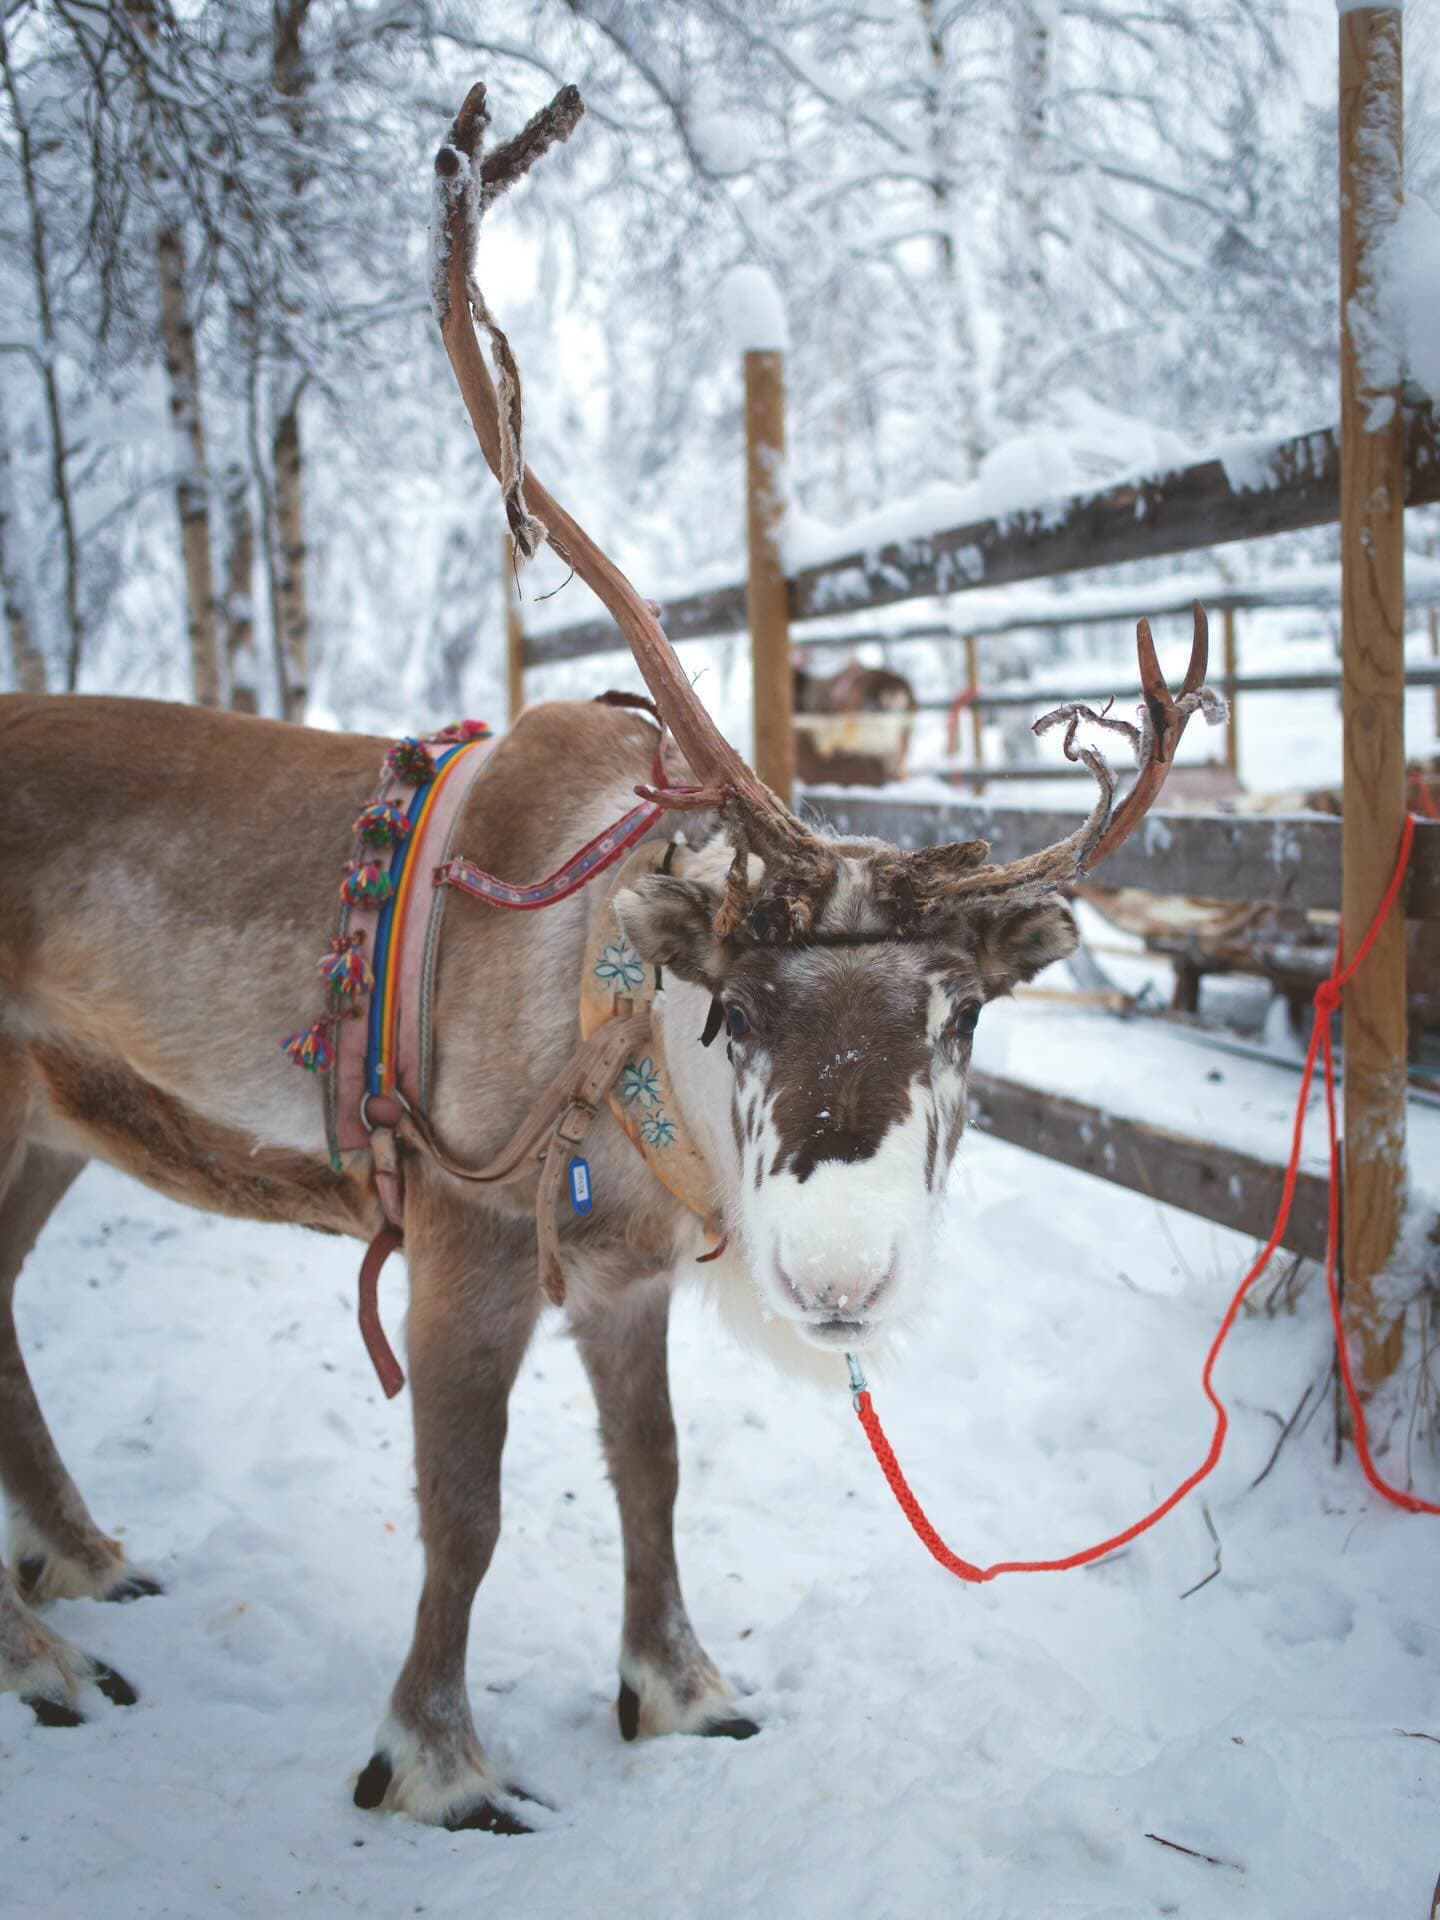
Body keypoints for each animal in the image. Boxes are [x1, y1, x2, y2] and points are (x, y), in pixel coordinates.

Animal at [0, 82, 1221, 1833]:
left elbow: (652, 1470)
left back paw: (83, 1563)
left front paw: (679, 1687)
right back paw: (43, 1654)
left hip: (48, 1123)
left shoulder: (628, 1275)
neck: (625, 1032)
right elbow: (467, 1508)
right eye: (743, 1010)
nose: (841, 1276)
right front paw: (434, 1762)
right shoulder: (464, 1241)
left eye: (964, 1015)